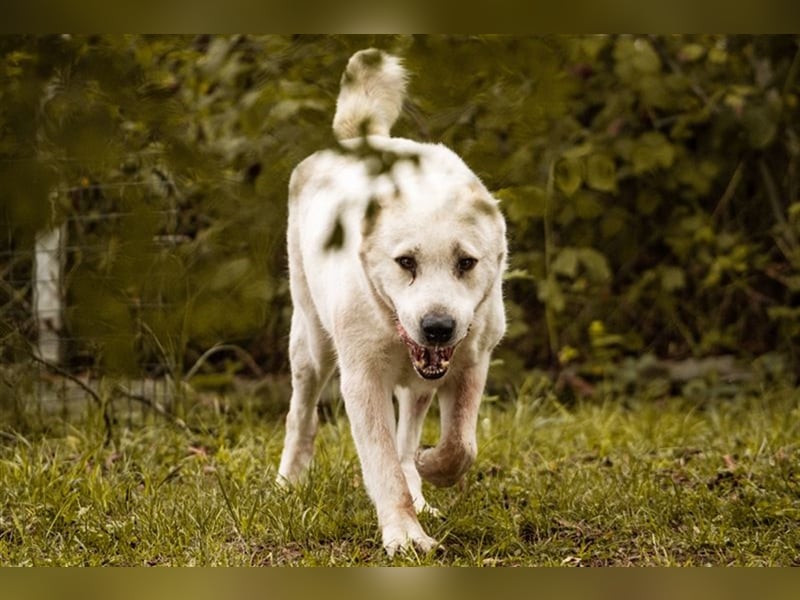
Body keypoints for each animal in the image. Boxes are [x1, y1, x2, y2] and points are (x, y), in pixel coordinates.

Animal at [278, 49, 506, 556]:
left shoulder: (472, 362)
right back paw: (288, 484)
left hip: (418, 385)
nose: (437, 326)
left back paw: (419, 486)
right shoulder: (362, 380)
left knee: (408, 435)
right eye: (406, 262)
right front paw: (404, 537)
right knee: (301, 414)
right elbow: (382, 465)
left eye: (466, 262)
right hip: (312, 347)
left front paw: (428, 468)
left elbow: (460, 445)